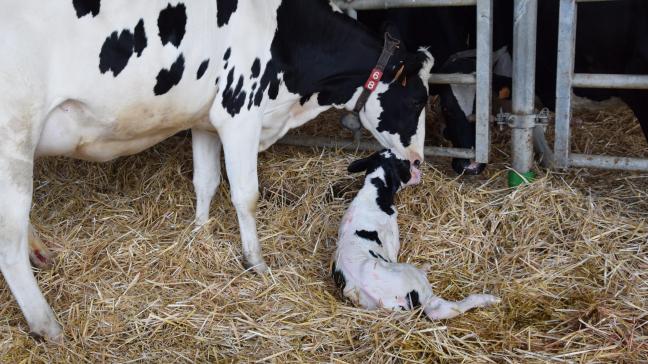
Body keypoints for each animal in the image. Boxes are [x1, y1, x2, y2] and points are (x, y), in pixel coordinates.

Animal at [3, 0, 436, 342]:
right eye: (418, 99)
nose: (417, 162)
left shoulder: (206, 120)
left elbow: (206, 181)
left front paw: (198, 232)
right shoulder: (239, 113)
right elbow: (246, 195)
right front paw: (256, 263)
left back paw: (41, 254)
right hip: (15, 139)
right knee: (9, 248)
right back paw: (48, 326)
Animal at [332, 150, 498, 318]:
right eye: (406, 163)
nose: (418, 163)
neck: (373, 194)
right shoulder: (391, 243)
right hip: (417, 283)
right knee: (441, 310)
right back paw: (488, 298)